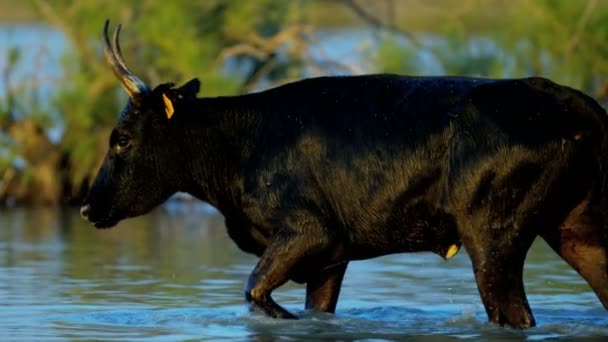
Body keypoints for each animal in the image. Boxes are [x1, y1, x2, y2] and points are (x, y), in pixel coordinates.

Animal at [81, 21, 608, 328]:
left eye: (121, 138)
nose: (86, 206)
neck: (239, 147)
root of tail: (568, 98)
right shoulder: (331, 257)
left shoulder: (309, 230)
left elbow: (255, 290)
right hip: (576, 229)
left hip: (493, 238)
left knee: (514, 316)